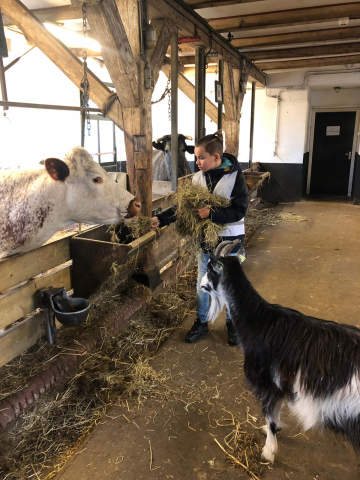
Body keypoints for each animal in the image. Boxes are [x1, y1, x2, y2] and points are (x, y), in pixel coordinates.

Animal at [200, 242, 360, 464]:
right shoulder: (281, 383)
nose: (200, 285)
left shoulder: (267, 383)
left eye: (209, 270)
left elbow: (270, 416)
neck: (258, 322)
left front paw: (268, 451)